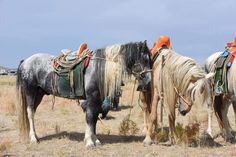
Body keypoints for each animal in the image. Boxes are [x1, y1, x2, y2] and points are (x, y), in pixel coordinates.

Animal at [16, 41, 151, 147]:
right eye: (143, 59)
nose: (148, 81)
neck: (98, 68)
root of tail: (25, 61)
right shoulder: (92, 99)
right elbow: (90, 118)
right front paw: (89, 142)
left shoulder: (97, 100)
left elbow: (94, 119)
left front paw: (95, 140)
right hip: (30, 92)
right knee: (30, 113)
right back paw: (33, 139)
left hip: (39, 94)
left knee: (33, 112)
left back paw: (36, 136)